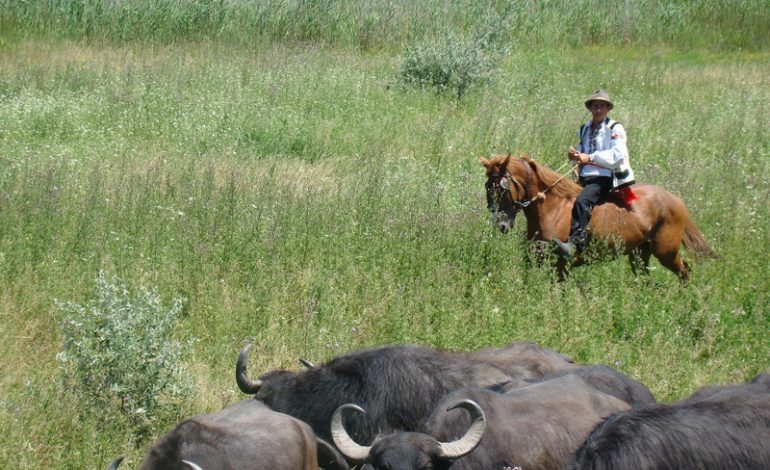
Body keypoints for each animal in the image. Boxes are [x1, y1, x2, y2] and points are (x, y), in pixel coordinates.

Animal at [480, 154, 712, 280]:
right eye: (487, 187)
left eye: (502, 188)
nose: (501, 224)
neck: (552, 210)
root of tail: (676, 200)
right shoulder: (535, 260)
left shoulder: (561, 266)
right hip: (639, 253)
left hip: (666, 252)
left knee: (684, 270)